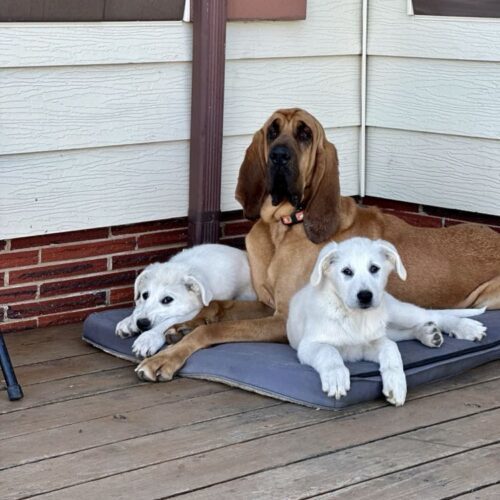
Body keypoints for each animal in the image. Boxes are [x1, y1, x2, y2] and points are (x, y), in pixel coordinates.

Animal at [117, 244, 256, 358]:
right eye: (145, 295)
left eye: (167, 299)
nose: (141, 323)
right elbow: (139, 308)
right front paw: (129, 321)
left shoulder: (197, 309)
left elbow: (169, 321)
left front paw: (148, 338)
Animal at [137, 108, 500, 382]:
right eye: (272, 131)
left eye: (305, 134)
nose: (279, 156)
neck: (283, 227)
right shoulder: (268, 304)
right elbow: (216, 306)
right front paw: (177, 327)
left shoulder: (281, 319)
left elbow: (214, 332)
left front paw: (165, 357)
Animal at [288, 238, 486, 406]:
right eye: (346, 272)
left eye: (374, 269)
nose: (365, 296)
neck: (356, 317)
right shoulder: (309, 345)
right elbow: (328, 351)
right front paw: (336, 376)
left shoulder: (375, 342)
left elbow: (392, 352)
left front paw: (397, 384)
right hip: (390, 326)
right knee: (407, 331)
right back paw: (428, 334)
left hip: (398, 312)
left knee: (432, 315)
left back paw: (466, 327)